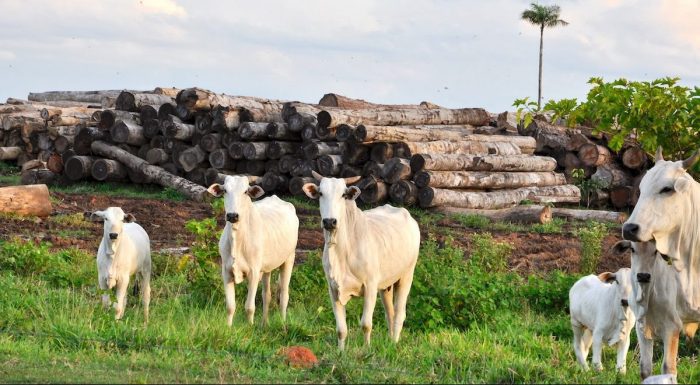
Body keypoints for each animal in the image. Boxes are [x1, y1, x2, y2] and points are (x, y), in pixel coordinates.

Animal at [205, 176, 298, 326]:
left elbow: (249, 307)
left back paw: (283, 323)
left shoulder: (253, 273)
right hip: (266, 269)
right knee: (267, 295)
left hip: (289, 258)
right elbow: (230, 306)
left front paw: (250, 327)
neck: (237, 239)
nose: (232, 216)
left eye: (245, 192)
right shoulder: (226, 272)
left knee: (284, 295)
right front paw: (228, 327)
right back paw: (264, 324)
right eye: (225, 190)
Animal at [624, 148, 700, 378]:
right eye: (641, 189)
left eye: (667, 189)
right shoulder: (644, 325)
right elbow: (646, 369)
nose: (629, 228)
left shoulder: (671, 325)